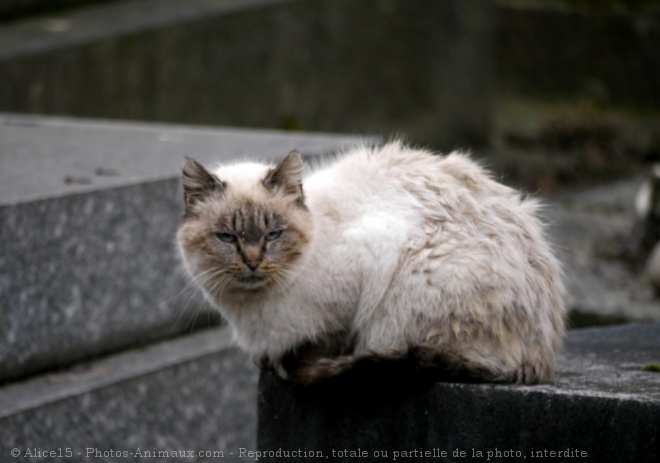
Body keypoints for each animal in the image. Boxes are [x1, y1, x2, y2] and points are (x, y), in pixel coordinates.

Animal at [178, 142, 564, 388]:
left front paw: (287, 363)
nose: (253, 262)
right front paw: (269, 362)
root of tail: (540, 364)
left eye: (274, 235)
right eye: (227, 238)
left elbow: (321, 343)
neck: (251, 311)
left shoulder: (366, 264)